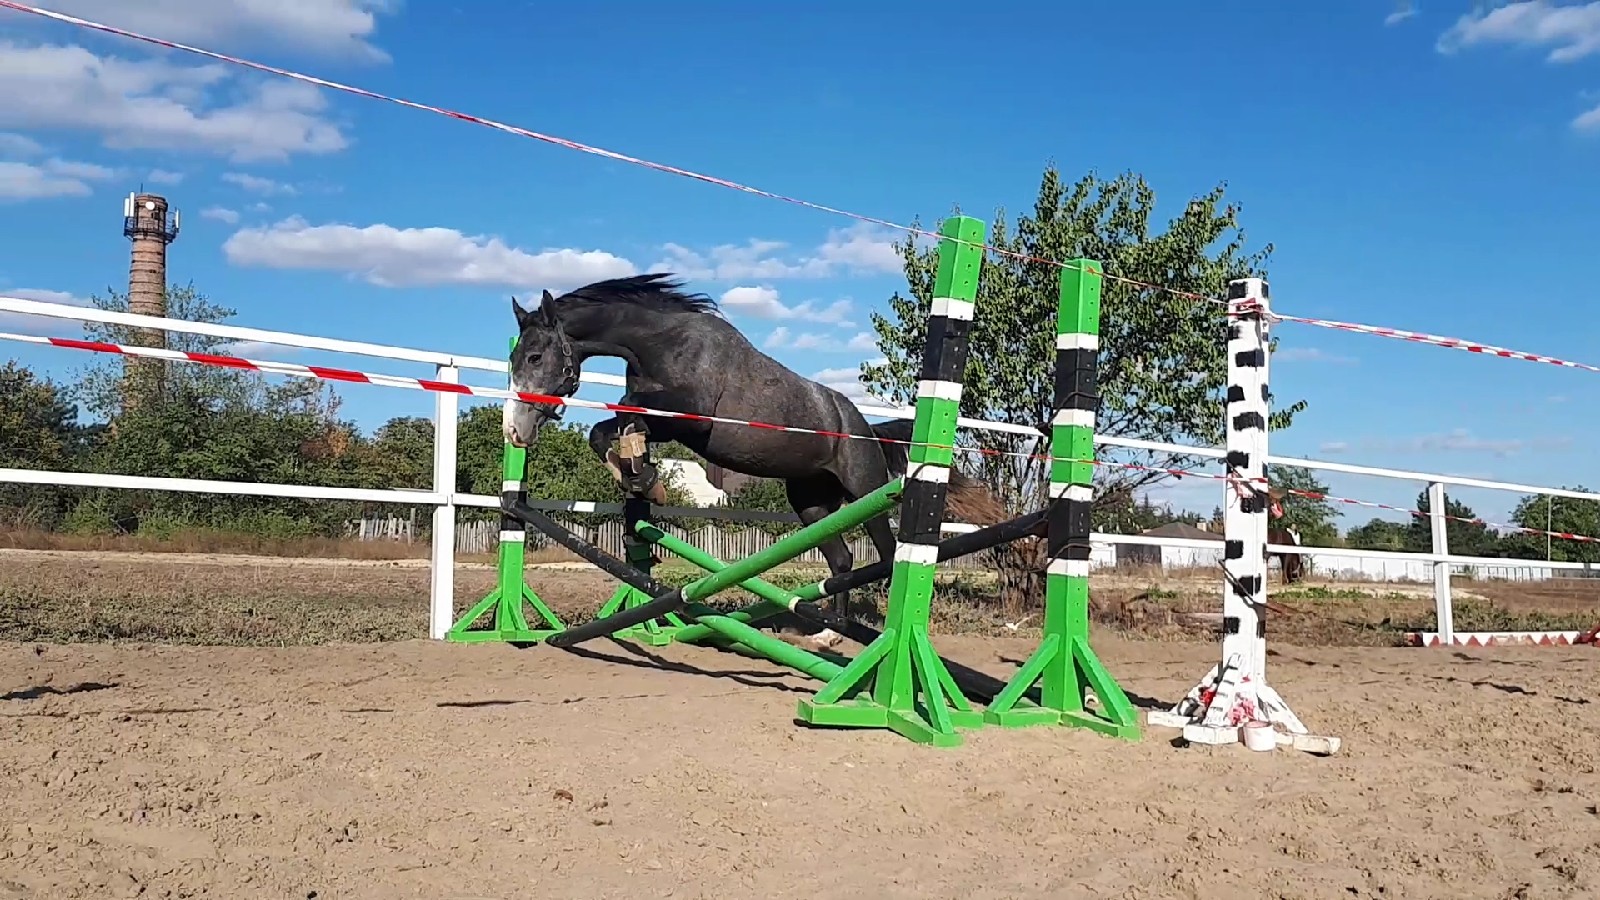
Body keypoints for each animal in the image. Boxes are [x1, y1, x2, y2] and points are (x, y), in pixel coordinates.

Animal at [500, 273, 1002, 648]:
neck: (661, 343)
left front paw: (643, 473)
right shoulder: (664, 419)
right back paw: (828, 635)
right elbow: (609, 428)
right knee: (841, 562)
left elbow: (623, 413)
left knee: (887, 553)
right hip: (812, 503)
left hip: (866, 491)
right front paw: (638, 474)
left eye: (536, 356)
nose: (514, 431)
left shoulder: (691, 417)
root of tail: (865, 429)